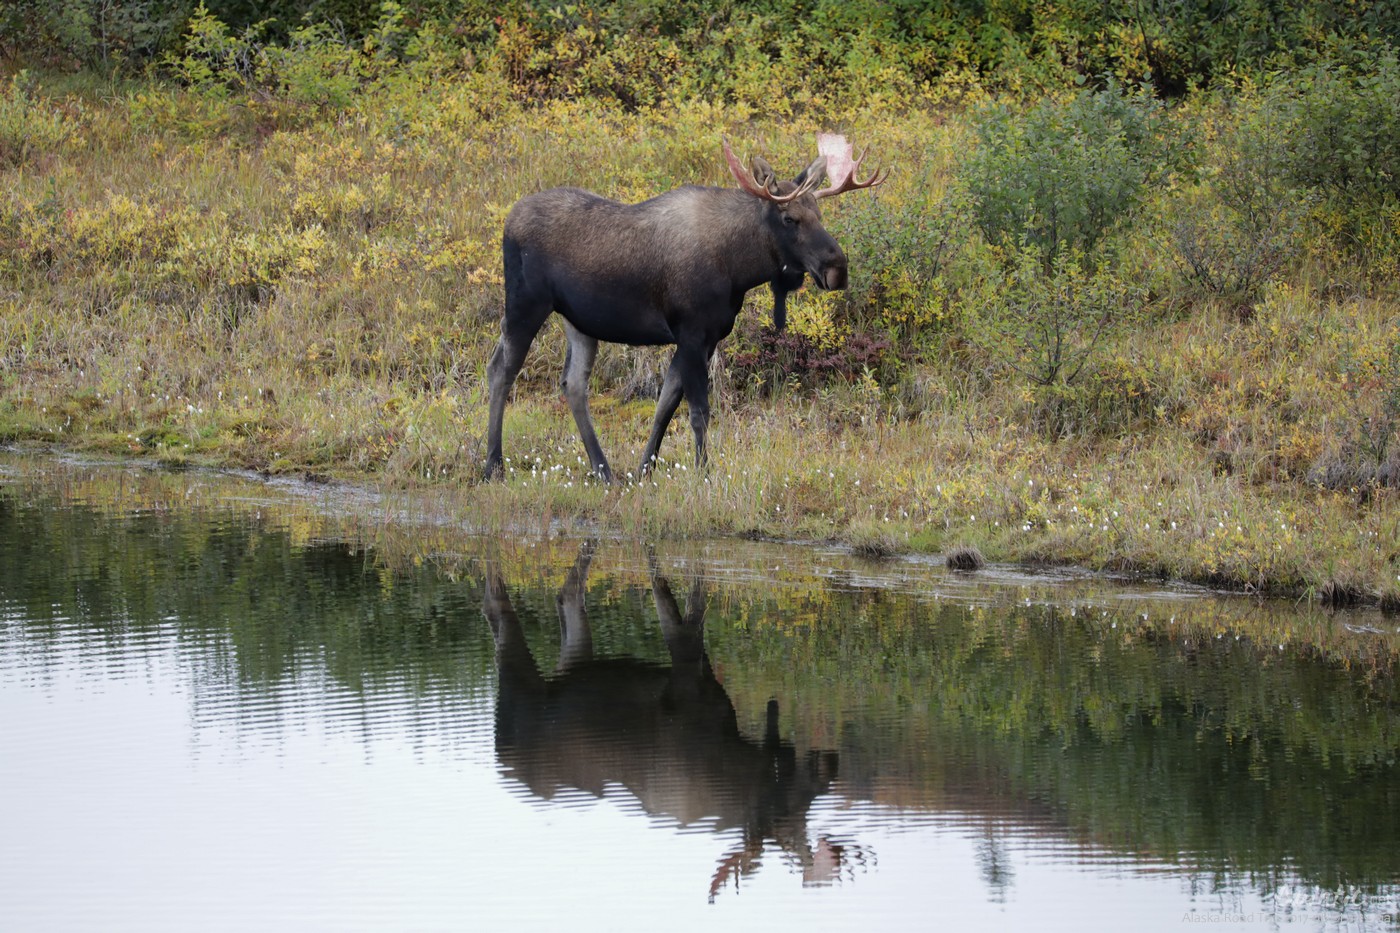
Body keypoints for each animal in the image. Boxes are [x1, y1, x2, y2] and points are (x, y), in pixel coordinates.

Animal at [484, 134, 884, 481]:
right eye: (790, 218)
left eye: (819, 214)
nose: (837, 268)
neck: (739, 267)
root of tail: (508, 219)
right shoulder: (691, 332)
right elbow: (698, 411)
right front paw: (704, 472)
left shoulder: (707, 338)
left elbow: (665, 405)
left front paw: (644, 471)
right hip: (525, 304)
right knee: (501, 369)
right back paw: (493, 465)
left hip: (579, 322)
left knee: (573, 384)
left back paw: (604, 471)